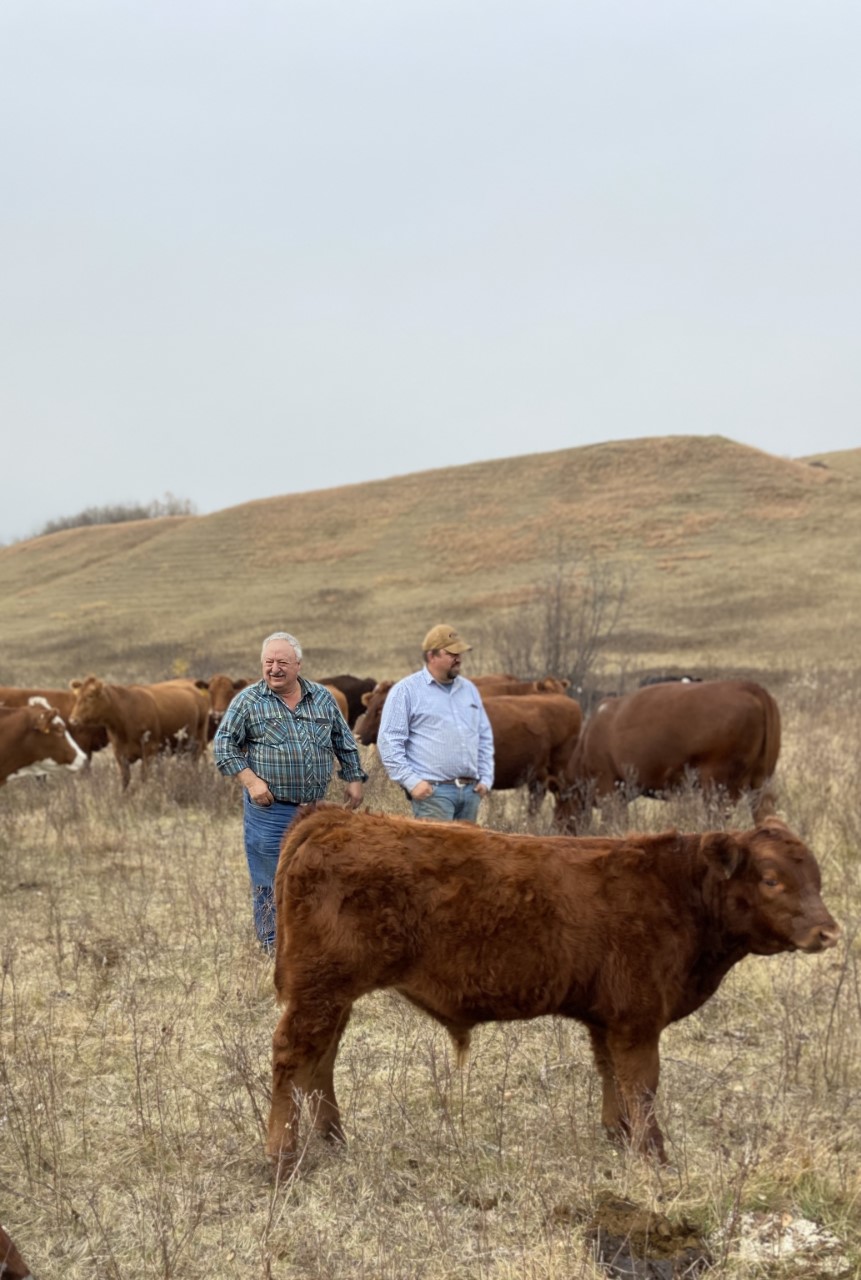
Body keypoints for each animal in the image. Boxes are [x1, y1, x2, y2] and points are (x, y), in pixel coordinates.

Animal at [68, 675, 211, 783]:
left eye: (90, 696)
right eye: (77, 697)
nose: (73, 720)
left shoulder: (149, 750)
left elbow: (144, 777)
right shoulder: (119, 754)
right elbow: (125, 779)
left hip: (199, 740)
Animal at [267, 808, 834, 1172]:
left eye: (816, 876)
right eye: (771, 879)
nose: (828, 931)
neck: (677, 892)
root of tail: (339, 817)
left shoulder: (609, 1019)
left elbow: (613, 1079)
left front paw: (618, 1138)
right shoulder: (638, 1019)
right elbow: (642, 1084)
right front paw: (654, 1156)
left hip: (332, 995)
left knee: (320, 1060)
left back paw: (334, 1141)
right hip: (320, 990)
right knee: (293, 1057)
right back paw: (281, 1157)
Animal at [555, 680, 782, 829]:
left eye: (560, 801)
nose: (557, 826)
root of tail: (749, 686)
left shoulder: (608, 789)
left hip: (717, 786)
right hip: (760, 784)